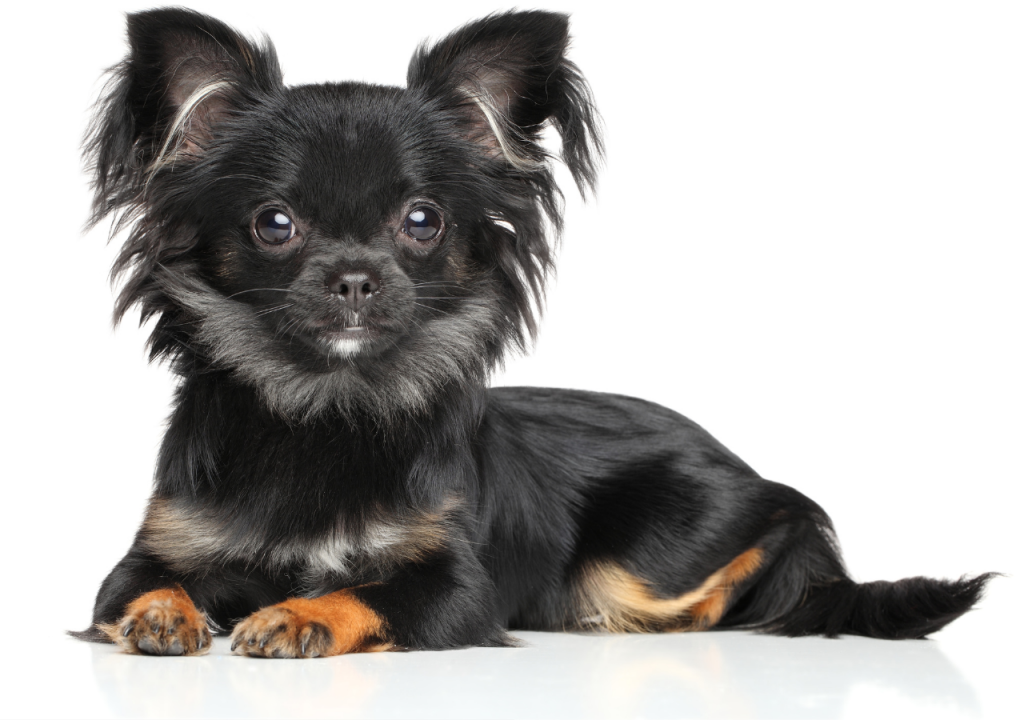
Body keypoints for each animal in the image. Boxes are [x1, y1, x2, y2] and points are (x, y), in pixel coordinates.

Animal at [74, 7, 991, 659]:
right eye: (275, 224)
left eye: (422, 221)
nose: (355, 276)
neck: (326, 407)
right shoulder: (154, 548)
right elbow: (135, 590)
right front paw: (162, 612)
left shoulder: (456, 587)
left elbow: (365, 592)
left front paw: (299, 615)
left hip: (643, 560)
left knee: (779, 533)